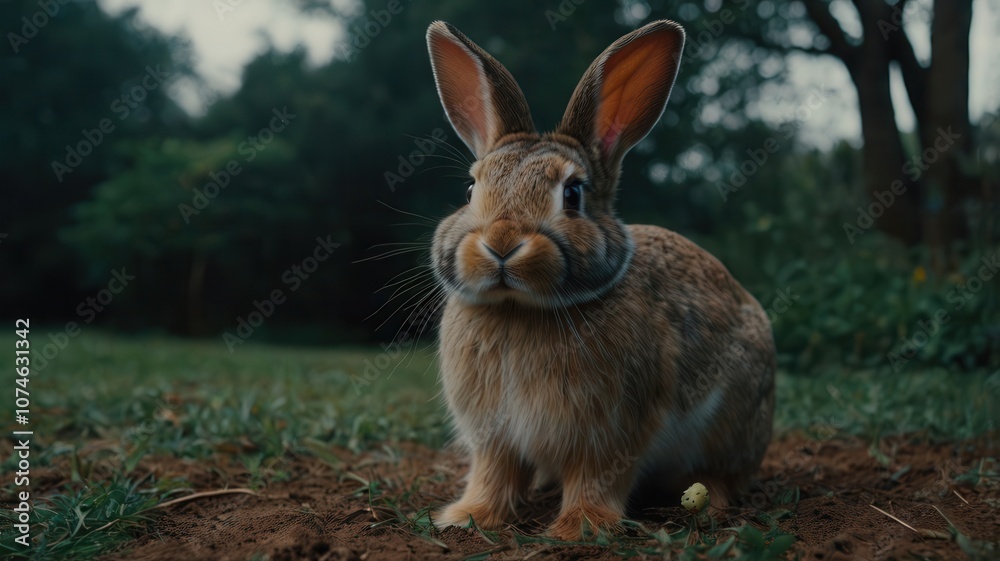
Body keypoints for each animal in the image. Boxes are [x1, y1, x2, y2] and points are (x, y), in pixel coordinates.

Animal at [425, 18, 775, 541]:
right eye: (470, 189)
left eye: (573, 194)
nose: (502, 242)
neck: (520, 309)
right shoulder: (494, 436)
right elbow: (493, 474)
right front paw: (467, 517)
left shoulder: (612, 432)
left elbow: (596, 478)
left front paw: (580, 527)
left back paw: (710, 500)